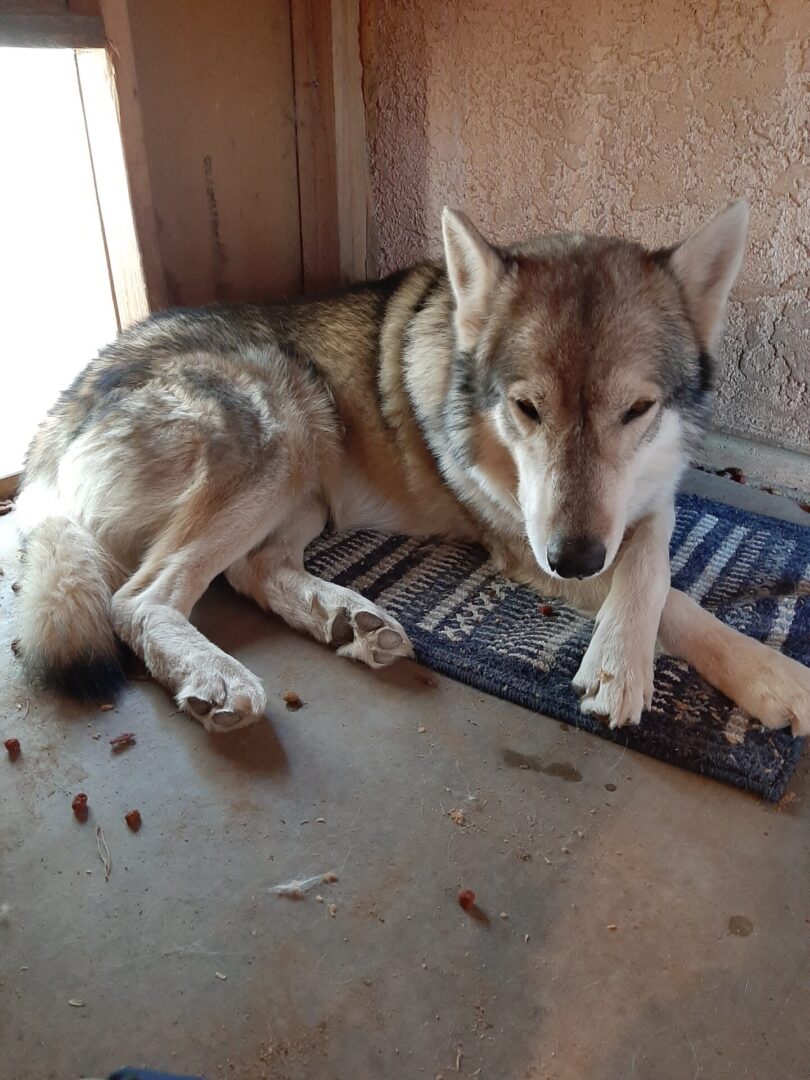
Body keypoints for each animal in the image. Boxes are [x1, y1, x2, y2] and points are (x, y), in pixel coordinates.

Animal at [12, 204, 810, 734]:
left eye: (637, 409)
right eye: (527, 408)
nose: (575, 559)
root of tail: (49, 429)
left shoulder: (646, 498)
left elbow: (652, 564)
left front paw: (628, 652)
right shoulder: (529, 546)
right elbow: (676, 600)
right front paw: (764, 676)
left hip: (304, 485)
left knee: (250, 570)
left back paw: (349, 617)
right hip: (284, 424)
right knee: (142, 598)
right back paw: (218, 675)